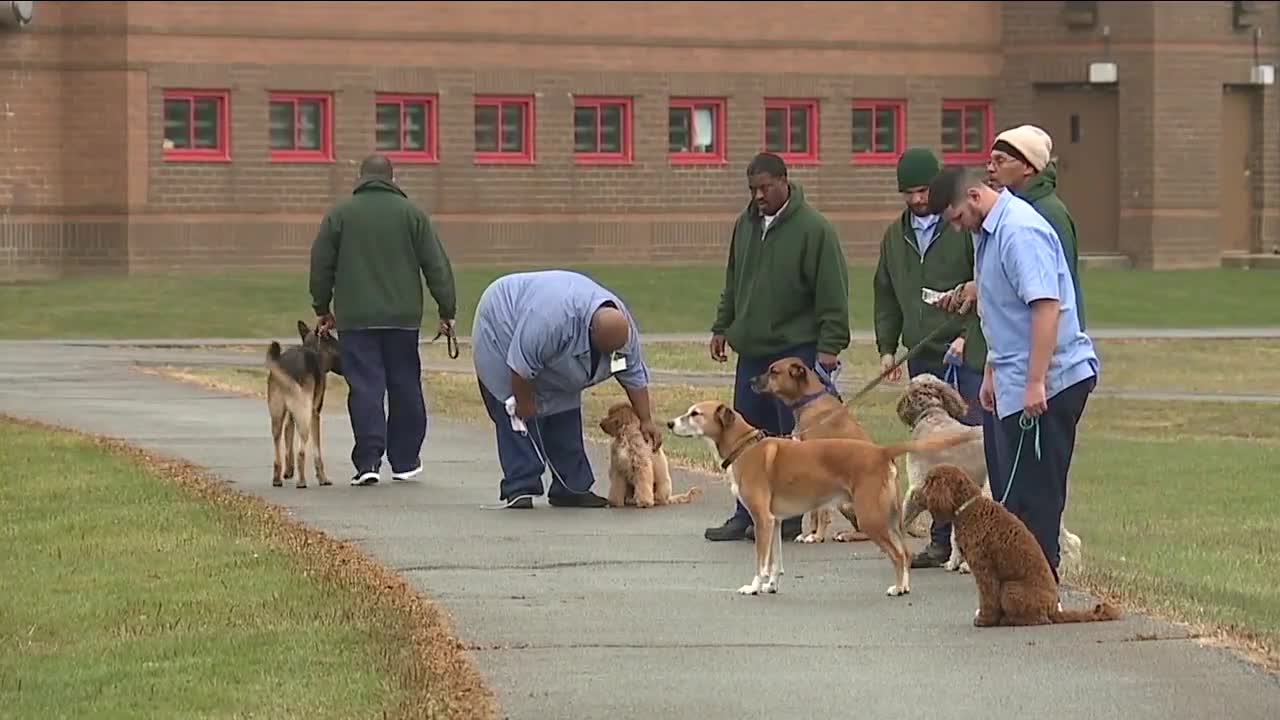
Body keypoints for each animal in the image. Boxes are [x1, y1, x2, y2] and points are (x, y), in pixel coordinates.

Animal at [266, 319, 345, 486]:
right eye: (338, 347)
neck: (314, 349)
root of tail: (288, 366)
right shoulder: (315, 413)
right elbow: (317, 451)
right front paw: (322, 477)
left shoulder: (290, 415)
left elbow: (288, 436)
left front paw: (288, 471)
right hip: (305, 415)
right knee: (301, 451)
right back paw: (301, 480)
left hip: (277, 415)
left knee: (277, 442)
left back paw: (277, 478)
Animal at [665, 399, 972, 597]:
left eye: (694, 414)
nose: (668, 423)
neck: (745, 447)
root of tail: (880, 451)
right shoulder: (774, 522)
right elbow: (775, 561)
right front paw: (771, 585)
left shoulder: (762, 520)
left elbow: (761, 561)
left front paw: (754, 586)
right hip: (890, 518)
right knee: (905, 552)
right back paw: (905, 585)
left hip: (870, 518)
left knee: (897, 554)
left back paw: (897, 589)